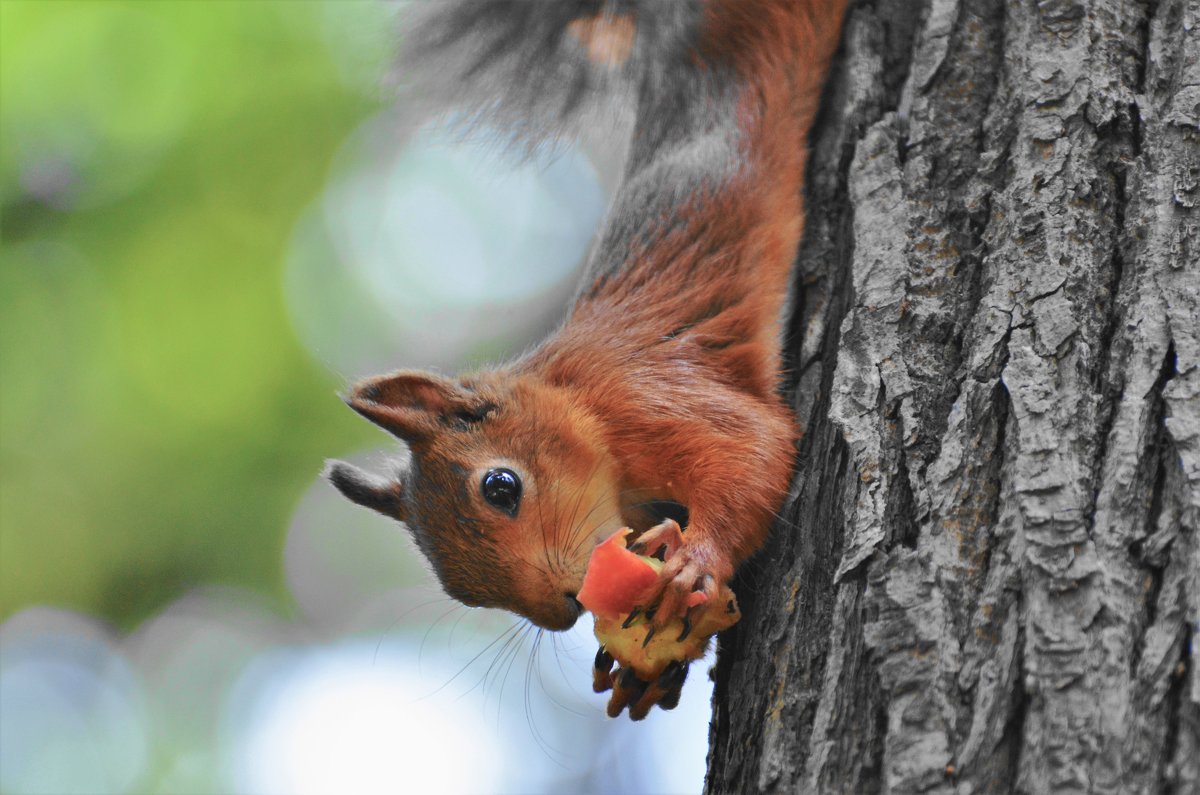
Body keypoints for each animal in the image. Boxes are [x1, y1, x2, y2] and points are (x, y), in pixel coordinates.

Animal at [326, 0, 844, 720]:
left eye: (501, 486)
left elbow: (752, 447)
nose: (568, 606)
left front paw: (696, 560)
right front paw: (645, 671)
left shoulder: (646, 395)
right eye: (461, 592)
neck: (578, 404)